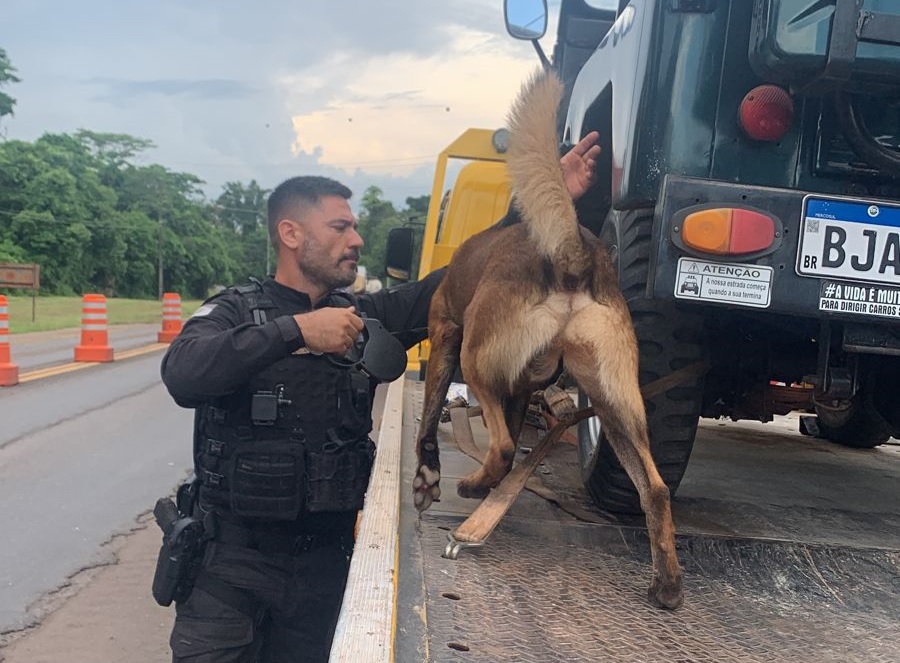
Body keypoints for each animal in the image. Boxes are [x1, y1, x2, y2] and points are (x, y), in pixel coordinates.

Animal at [412, 70, 683, 609]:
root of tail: (573, 257)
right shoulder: (518, 388)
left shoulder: (446, 333)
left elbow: (431, 418)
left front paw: (427, 477)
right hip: (617, 405)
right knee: (655, 488)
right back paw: (667, 584)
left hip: (476, 359)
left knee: (500, 448)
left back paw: (474, 487)